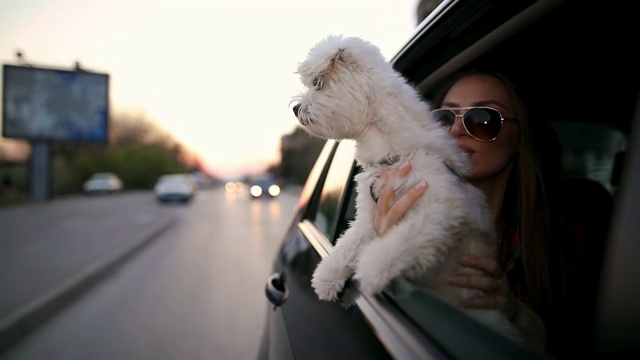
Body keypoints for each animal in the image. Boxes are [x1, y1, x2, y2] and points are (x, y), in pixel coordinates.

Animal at [292, 35, 524, 342]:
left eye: (318, 83)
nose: (295, 108)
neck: (394, 152)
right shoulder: (369, 216)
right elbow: (348, 244)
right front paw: (328, 277)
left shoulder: (439, 207)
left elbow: (400, 241)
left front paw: (374, 271)